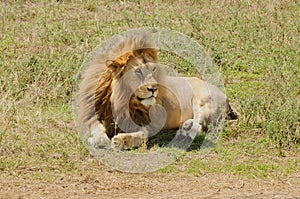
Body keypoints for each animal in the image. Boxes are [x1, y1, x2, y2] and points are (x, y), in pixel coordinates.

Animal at [77, 33, 237, 149]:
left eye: (153, 69)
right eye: (138, 71)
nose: (154, 88)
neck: (120, 99)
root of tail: (226, 97)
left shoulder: (145, 122)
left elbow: (142, 136)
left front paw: (122, 141)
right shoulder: (93, 114)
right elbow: (97, 127)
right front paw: (99, 139)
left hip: (204, 100)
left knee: (200, 126)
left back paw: (184, 132)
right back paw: (185, 127)